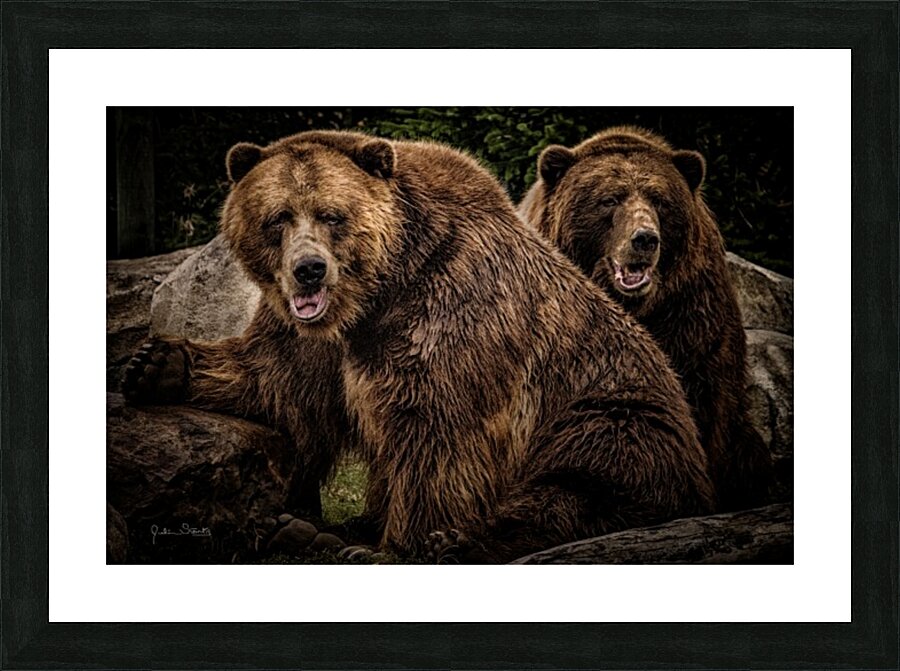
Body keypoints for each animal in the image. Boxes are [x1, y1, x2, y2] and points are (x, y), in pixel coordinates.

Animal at [124, 129, 714, 561]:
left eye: (332, 215)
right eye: (278, 217)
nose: (309, 270)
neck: (375, 295)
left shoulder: (454, 313)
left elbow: (436, 436)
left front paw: (400, 546)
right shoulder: (314, 337)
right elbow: (278, 382)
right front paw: (154, 364)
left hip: (613, 414)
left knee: (579, 485)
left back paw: (451, 541)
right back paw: (309, 531)